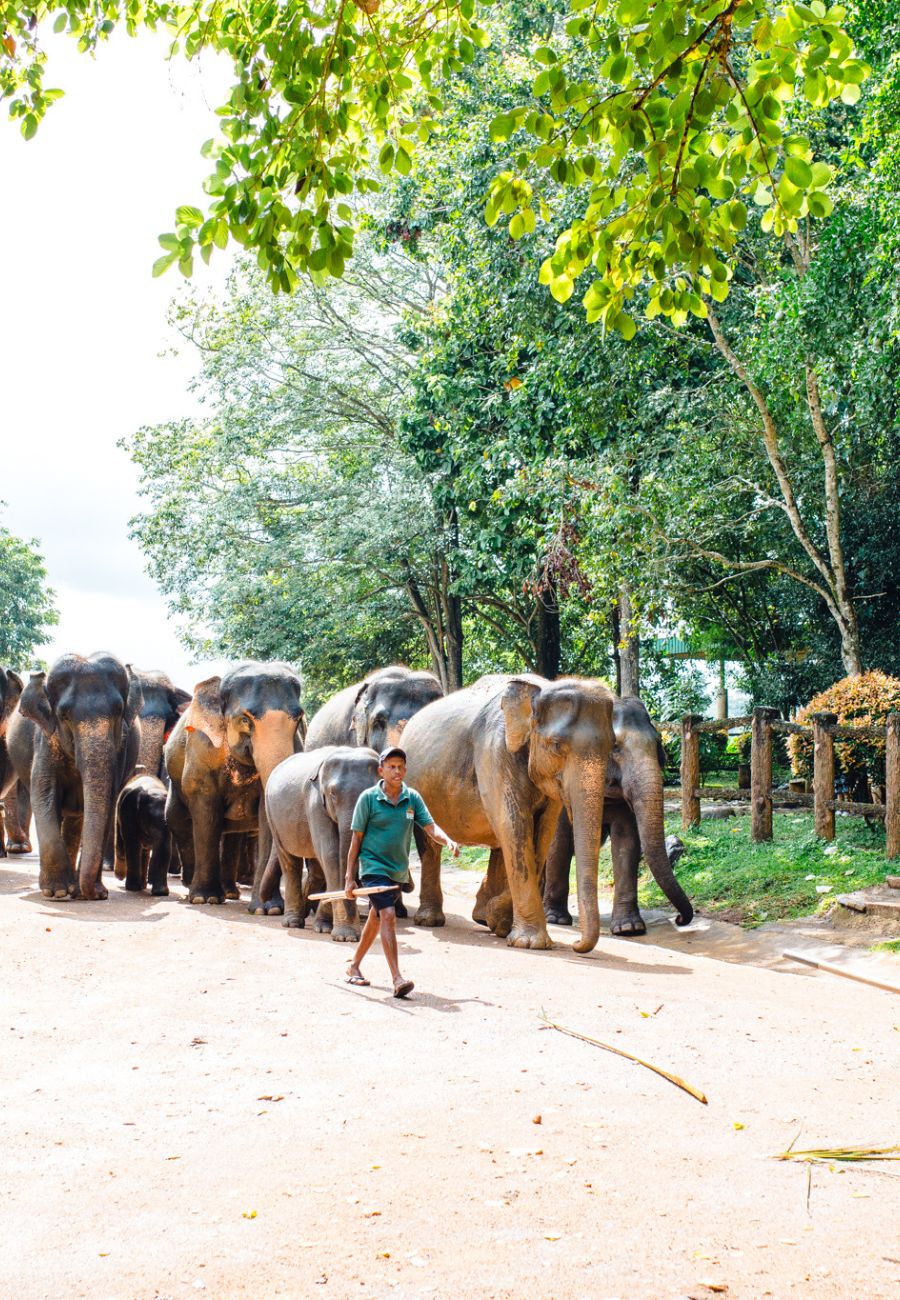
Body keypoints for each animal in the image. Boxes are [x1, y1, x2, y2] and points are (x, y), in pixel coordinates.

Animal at [5, 655, 142, 899]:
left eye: (119, 711)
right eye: (64, 715)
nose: (93, 893)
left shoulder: (121, 751)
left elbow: (107, 802)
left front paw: (91, 893)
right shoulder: (46, 739)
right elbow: (44, 795)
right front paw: (57, 892)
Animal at [166, 660, 308, 904]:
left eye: (298, 719)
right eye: (244, 720)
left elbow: (264, 812)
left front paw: (267, 908)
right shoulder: (201, 746)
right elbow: (205, 808)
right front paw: (205, 899)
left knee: (233, 836)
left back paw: (230, 892)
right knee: (178, 821)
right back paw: (191, 887)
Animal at [265, 748, 382, 941]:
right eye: (333, 795)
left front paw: (327, 928)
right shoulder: (315, 804)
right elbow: (331, 853)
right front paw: (345, 937)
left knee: (317, 870)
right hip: (272, 816)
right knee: (290, 864)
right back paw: (293, 922)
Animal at [403, 676, 616, 951]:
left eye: (613, 747)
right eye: (557, 745)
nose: (577, 942)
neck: (538, 690)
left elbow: (542, 835)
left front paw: (499, 922)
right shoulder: (495, 752)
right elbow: (513, 825)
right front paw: (530, 943)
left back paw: (483, 917)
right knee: (430, 846)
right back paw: (431, 921)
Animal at [541, 702, 697, 935]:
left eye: (658, 744)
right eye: (614, 747)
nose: (679, 919)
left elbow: (627, 841)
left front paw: (628, 928)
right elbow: (559, 840)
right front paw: (555, 919)